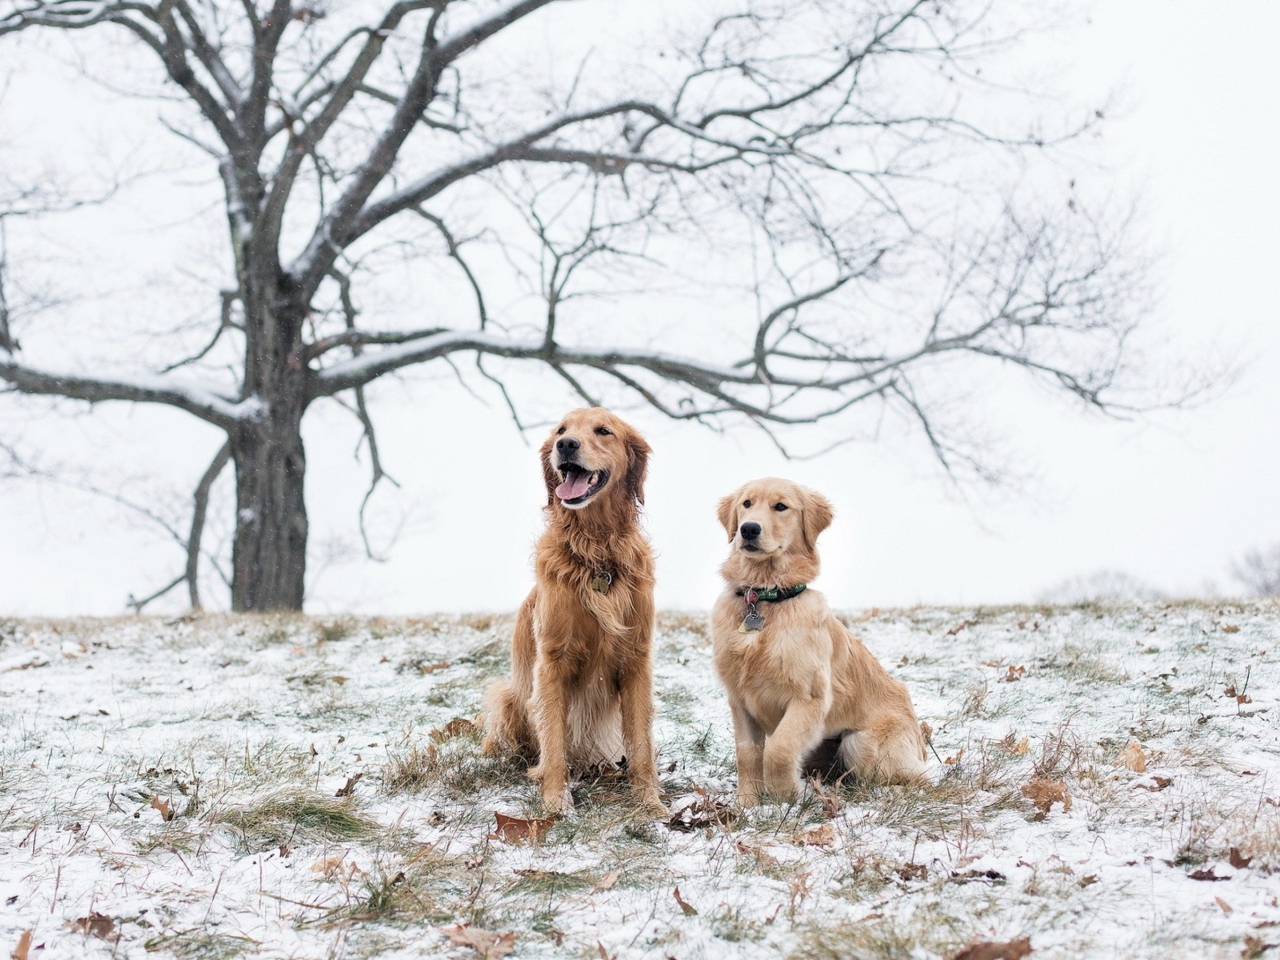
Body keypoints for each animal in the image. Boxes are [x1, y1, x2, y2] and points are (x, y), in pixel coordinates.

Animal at [478, 409, 660, 814]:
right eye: (561, 430)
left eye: (603, 431)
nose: (565, 445)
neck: (597, 554)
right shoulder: (551, 662)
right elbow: (555, 743)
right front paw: (556, 802)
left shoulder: (636, 658)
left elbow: (642, 745)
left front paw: (651, 804)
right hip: (508, 697)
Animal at [711, 478, 931, 803]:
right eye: (746, 504)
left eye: (781, 506)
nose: (748, 529)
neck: (765, 598)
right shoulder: (739, 699)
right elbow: (747, 754)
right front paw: (747, 804)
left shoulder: (809, 698)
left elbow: (778, 749)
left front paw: (787, 797)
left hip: (859, 744)